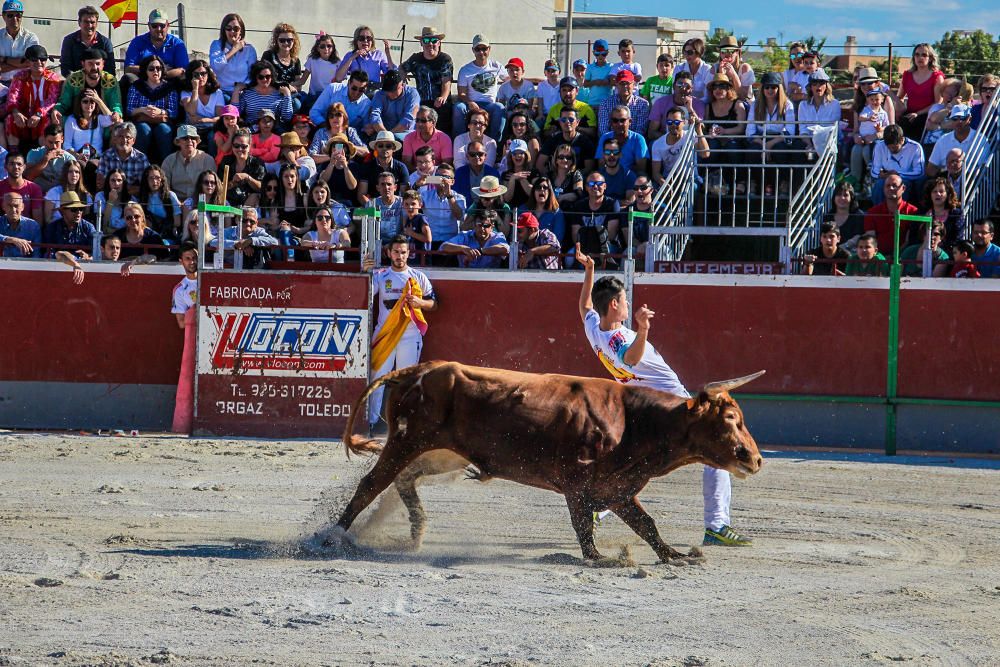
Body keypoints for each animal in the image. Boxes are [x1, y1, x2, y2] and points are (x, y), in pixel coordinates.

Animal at [336, 360, 764, 564]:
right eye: (731, 419)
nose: (756, 459)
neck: (634, 421)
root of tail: (415, 370)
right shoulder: (579, 485)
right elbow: (584, 530)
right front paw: (605, 560)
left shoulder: (617, 489)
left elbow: (647, 524)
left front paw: (676, 556)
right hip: (406, 441)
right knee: (371, 484)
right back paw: (335, 536)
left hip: (441, 454)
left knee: (402, 481)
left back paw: (416, 531)